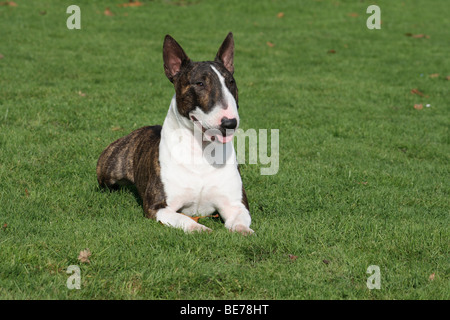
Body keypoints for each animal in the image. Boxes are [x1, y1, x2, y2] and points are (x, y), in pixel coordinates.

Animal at [96, 33, 253, 235]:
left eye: (231, 82)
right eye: (200, 83)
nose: (230, 123)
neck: (201, 151)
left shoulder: (236, 204)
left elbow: (240, 219)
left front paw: (243, 230)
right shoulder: (158, 207)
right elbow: (184, 219)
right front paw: (201, 229)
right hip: (108, 173)